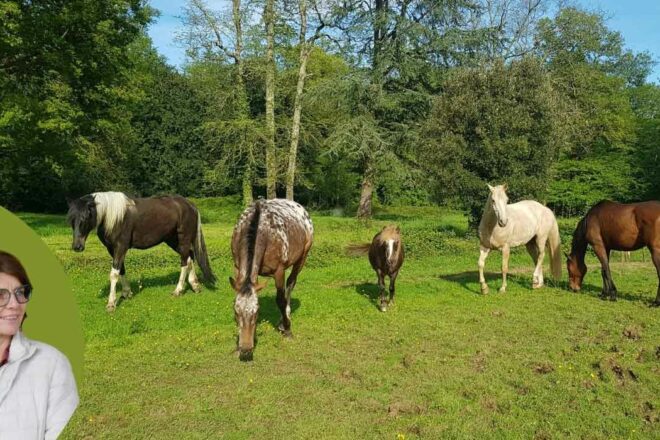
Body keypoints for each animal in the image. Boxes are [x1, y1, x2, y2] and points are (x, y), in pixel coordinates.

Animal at [67, 192, 216, 312]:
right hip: (172, 240)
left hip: (183, 239)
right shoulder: (112, 249)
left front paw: (111, 304)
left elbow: (114, 274)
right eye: (71, 220)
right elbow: (121, 270)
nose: (77, 247)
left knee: (184, 262)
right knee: (190, 257)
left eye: (86, 217)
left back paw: (178, 290)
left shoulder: (120, 247)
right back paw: (195, 285)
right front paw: (126, 293)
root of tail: (190, 205)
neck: (114, 217)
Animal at [229, 198, 314, 361]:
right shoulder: (238, 267)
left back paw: (284, 320)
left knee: (290, 284)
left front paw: (287, 330)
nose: (246, 350)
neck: (262, 230)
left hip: (302, 257)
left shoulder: (279, 271)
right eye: (236, 312)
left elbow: (280, 300)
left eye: (256, 313)